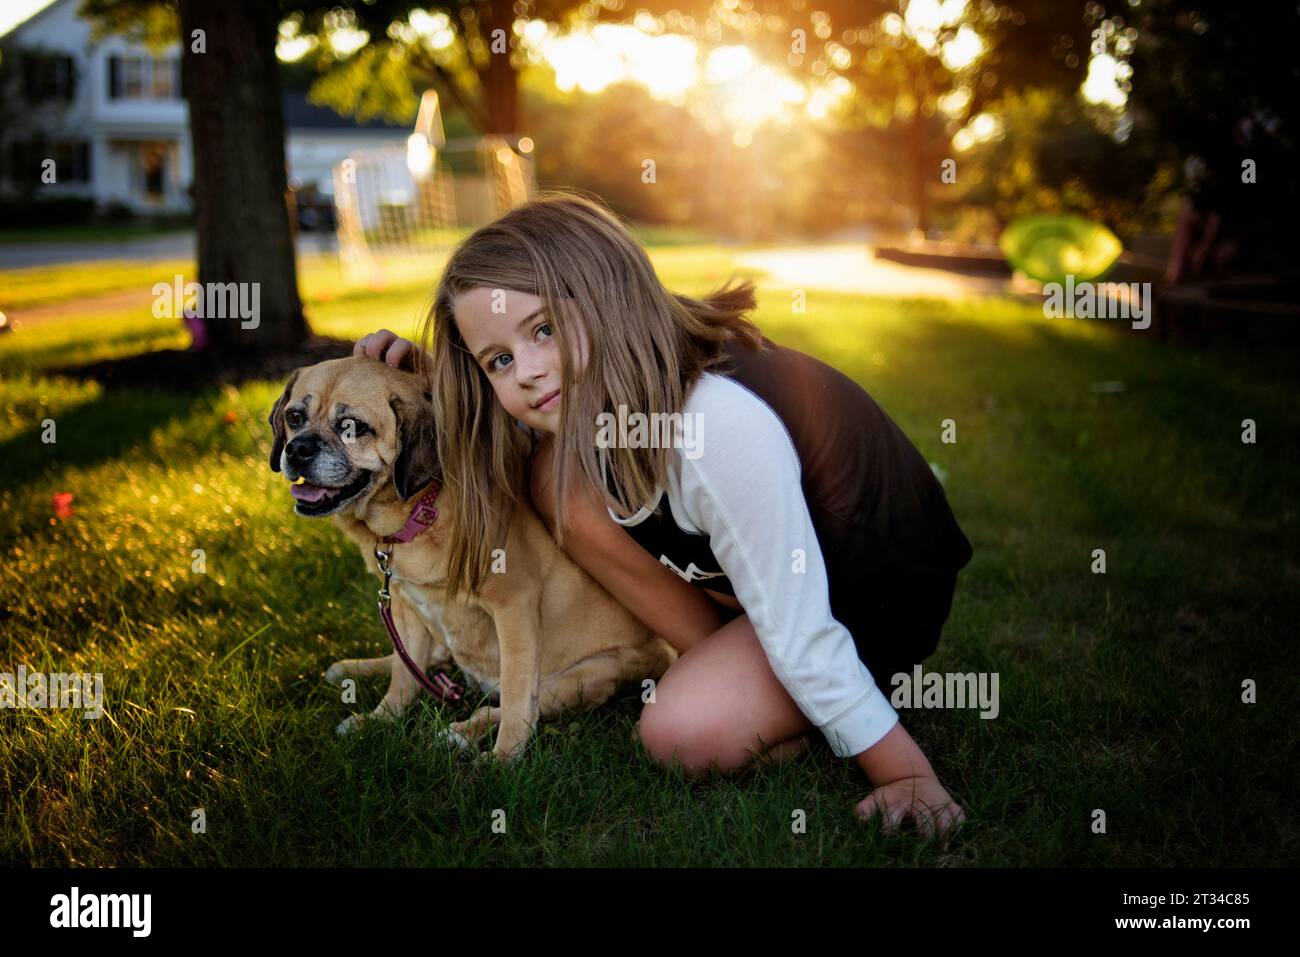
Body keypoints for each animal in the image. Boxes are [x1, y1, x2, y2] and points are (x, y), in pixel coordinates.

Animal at [271, 356, 681, 759]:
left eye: (351, 427)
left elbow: (516, 697)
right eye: (294, 417)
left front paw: (505, 757)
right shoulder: (403, 605)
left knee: (503, 704)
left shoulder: (513, 605)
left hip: (587, 677)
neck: (420, 511)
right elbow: (404, 676)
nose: (297, 450)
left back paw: (461, 734)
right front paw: (379, 720)